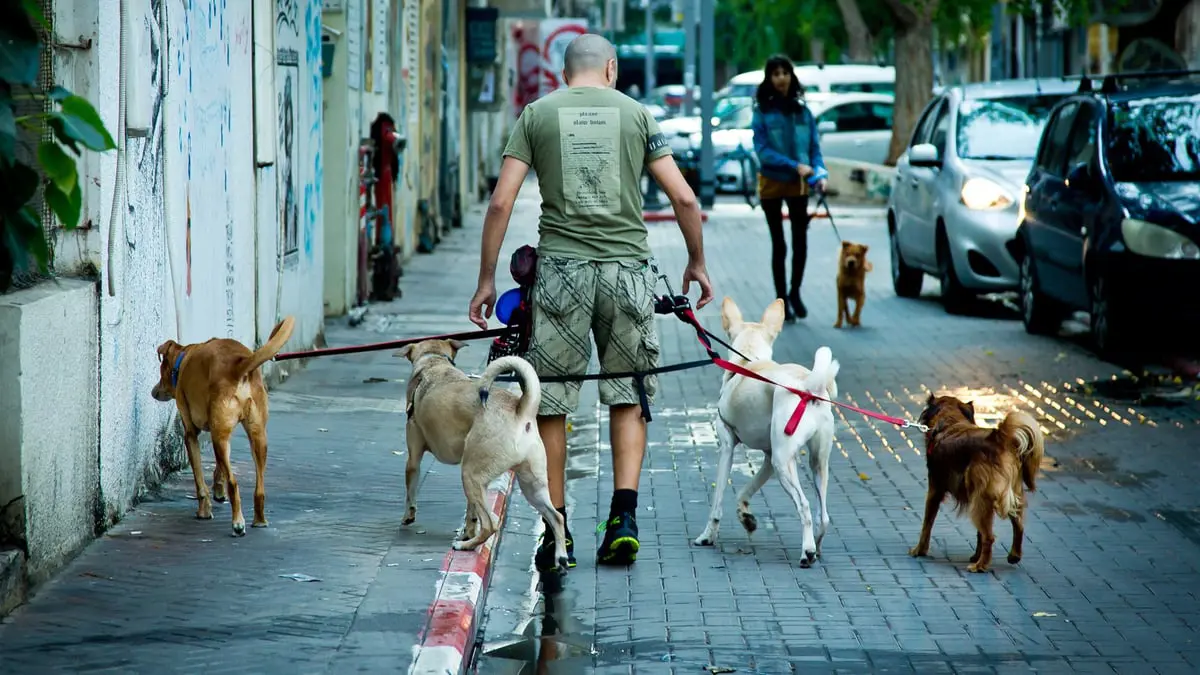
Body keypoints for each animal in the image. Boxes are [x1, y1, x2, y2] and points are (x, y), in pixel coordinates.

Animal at [151, 317, 294, 535]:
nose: (153, 392)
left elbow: (200, 481)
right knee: (259, 487)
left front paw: (204, 510)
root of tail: (240, 365)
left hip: (223, 436)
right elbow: (219, 466)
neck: (183, 360)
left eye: (161, 373)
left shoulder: (191, 435)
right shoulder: (219, 433)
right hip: (256, 436)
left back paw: (238, 523)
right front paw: (218, 490)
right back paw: (259, 520)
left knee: (234, 483)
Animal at [391, 338, 564, 564]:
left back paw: (465, 546)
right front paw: (468, 531)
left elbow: (410, 491)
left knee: (490, 525)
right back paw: (561, 557)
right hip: (531, 485)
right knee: (556, 517)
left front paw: (407, 516)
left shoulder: (413, 459)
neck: (434, 362)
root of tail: (521, 410)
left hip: (470, 474)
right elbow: (470, 512)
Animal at [691, 296, 840, 564]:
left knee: (804, 507)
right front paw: (746, 518)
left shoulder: (727, 447)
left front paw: (707, 536)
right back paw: (816, 546)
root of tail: (807, 386)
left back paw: (807, 551)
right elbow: (744, 491)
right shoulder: (769, 460)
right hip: (816, 463)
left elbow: (717, 503)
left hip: (784, 464)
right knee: (822, 516)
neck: (748, 361)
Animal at [902, 391, 1046, 569]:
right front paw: (976, 555)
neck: (950, 423)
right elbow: (979, 535)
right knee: (1017, 526)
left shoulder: (934, 491)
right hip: (1003, 497)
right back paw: (1013, 555)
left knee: (990, 536)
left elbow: (926, 525)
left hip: (981, 500)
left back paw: (980, 567)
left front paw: (919, 550)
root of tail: (999, 439)